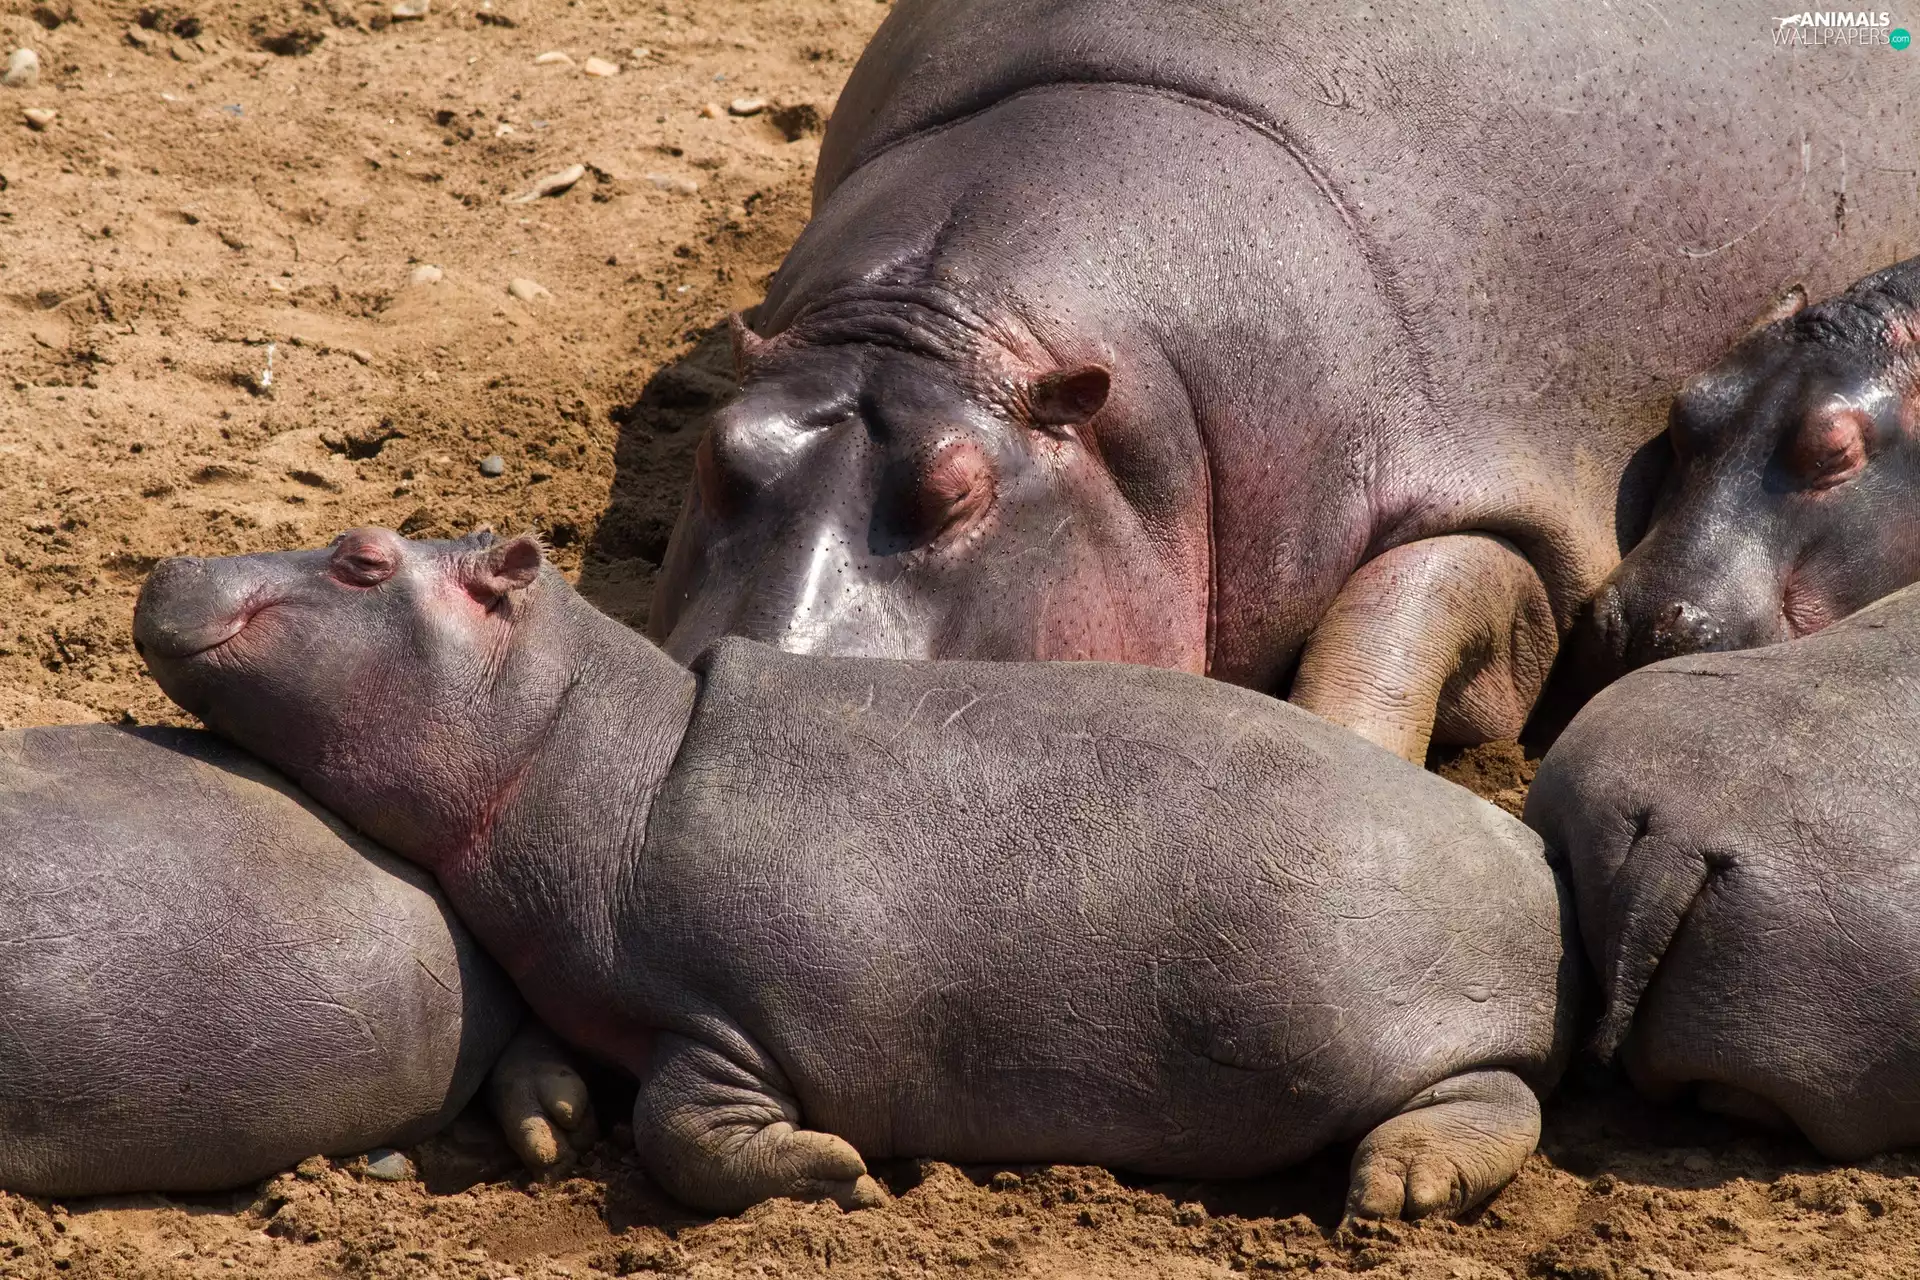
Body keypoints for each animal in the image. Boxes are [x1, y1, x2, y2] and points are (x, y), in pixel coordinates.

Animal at [133, 527, 1577, 1221]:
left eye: (362, 558)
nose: (167, 564)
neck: (579, 739)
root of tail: (1530, 851)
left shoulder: (737, 1015)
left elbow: (686, 1130)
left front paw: (839, 1176)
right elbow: (556, 1053)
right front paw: (553, 1126)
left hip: (1411, 1033)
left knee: (1491, 1096)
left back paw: (1398, 1192)